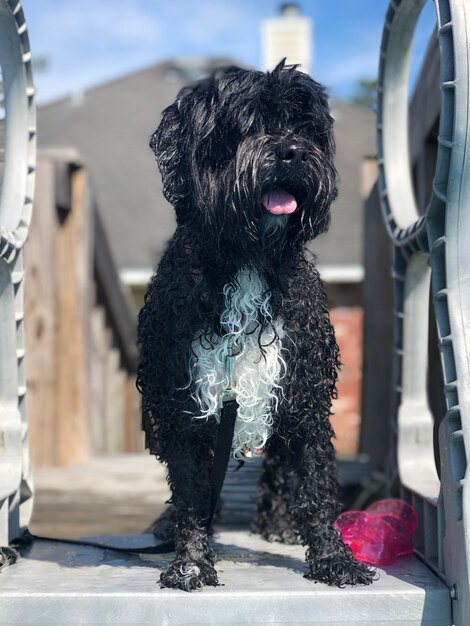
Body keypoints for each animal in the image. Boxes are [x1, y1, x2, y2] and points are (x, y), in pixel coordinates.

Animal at [136, 59, 374, 588]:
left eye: (302, 126)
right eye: (245, 123)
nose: (291, 151)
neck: (248, 258)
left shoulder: (303, 392)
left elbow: (315, 483)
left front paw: (334, 557)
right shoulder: (182, 401)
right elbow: (190, 491)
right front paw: (190, 560)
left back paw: (279, 524)